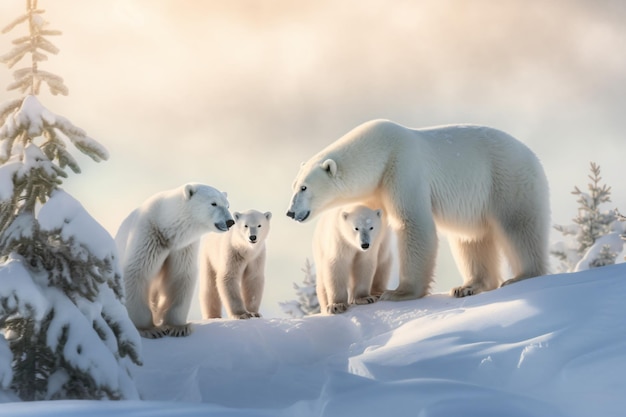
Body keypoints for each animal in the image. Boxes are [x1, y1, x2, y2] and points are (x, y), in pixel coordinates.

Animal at [115, 184, 234, 336]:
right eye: (213, 203)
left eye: (227, 205)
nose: (230, 222)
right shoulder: (149, 236)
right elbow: (137, 272)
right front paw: (148, 329)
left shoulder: (183, 247)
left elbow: (180, 276)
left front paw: (178, 328)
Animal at [286, 119, 548, 300]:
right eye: (294, 185)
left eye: (304, 187)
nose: (290, 212)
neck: (380, 152)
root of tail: (533, 156)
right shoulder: (376, 190)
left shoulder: (402, 169)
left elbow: (412, 223)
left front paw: (398, 292)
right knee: (470, 239)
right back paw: (468, 286)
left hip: (507, 180)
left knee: (519, 226)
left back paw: (523, 275)